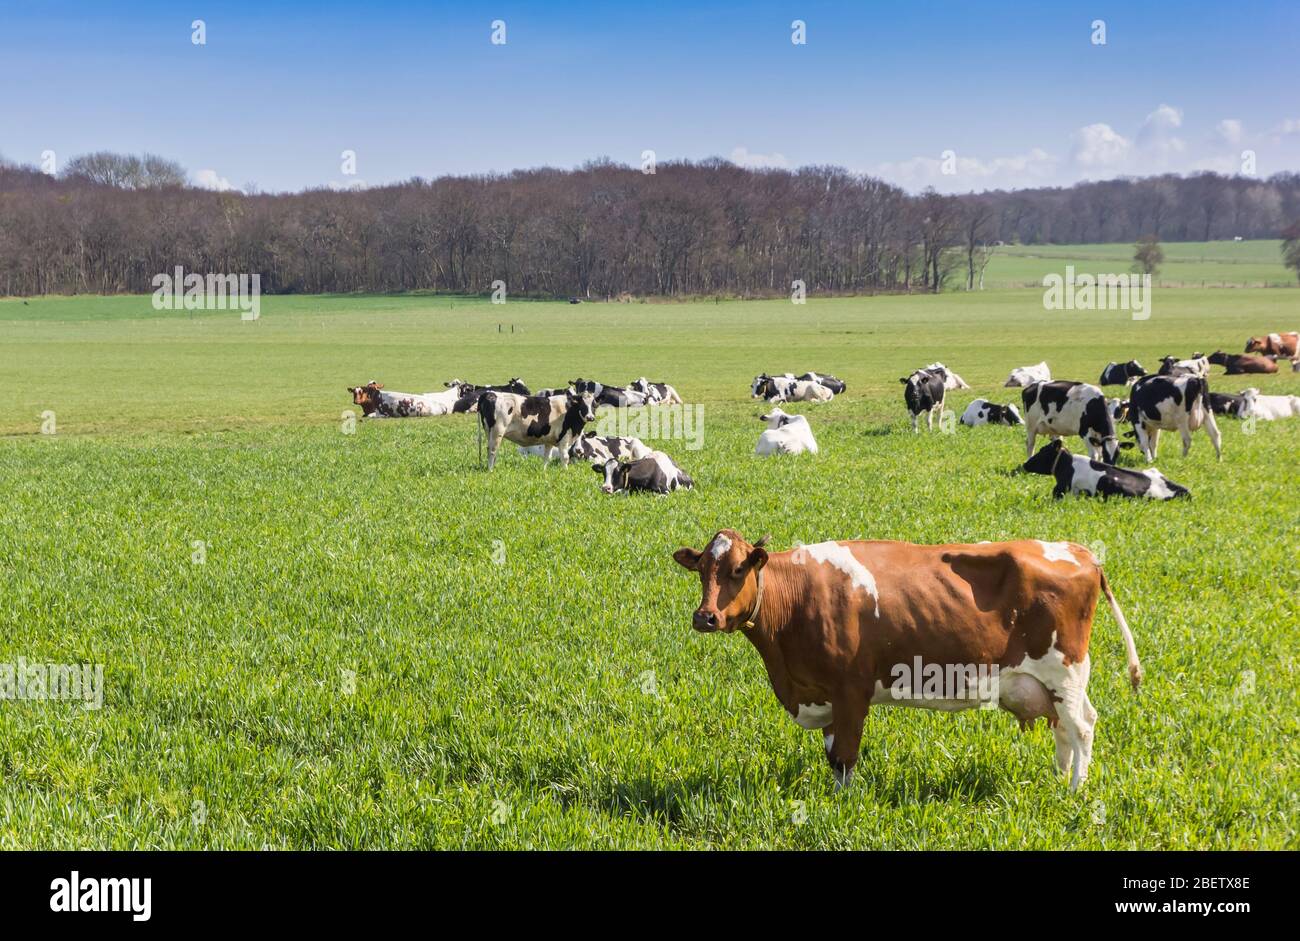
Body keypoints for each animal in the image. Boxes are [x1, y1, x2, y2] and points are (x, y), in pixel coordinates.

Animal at [676, 532, 1144, 790]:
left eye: (738, 569)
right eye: (701, 570)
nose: (705, 617)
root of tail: (1082, 553)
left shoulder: (851, 689)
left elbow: (844, 755)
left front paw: (843, 804)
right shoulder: (823, 692)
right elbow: (831, 755)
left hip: (1064, 672)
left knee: (1082, 727)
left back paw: (1076, 791)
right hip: (1047, 683)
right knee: (1064, 729)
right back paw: (1059, 780)